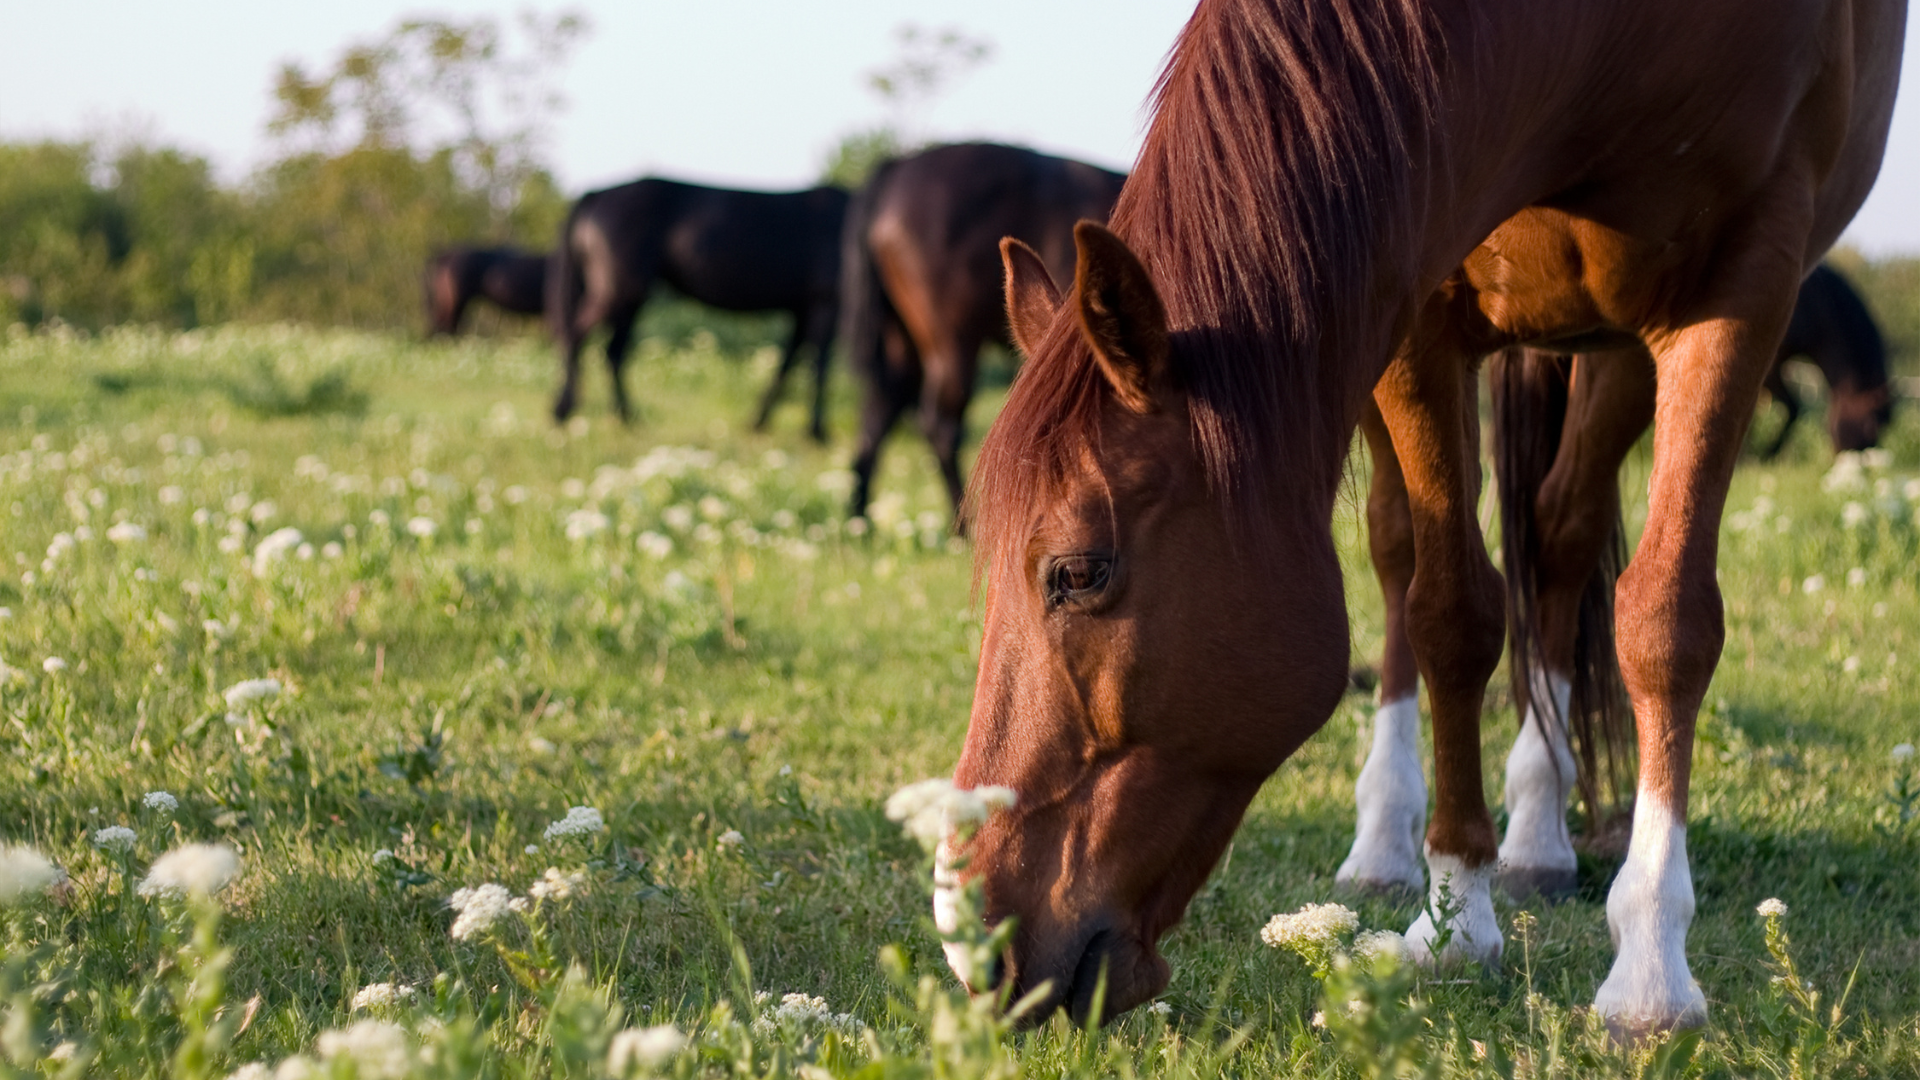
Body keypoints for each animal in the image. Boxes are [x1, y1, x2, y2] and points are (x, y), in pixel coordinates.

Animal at [547, 179, 848, 440]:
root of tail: (596, 193)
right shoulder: (825, 302)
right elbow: (819, 365)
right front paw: (817, 431)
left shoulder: (803, 309)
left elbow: (787, 364)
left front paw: (759, 421)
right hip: (618, 292)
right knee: (576, 336)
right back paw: (564, 410)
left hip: (628, 298)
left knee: (612, 352)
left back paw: (626, 416)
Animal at [838, 143, 1126, 519]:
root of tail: (896, 168)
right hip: (952, 340)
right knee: (940, 425)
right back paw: (961, 523)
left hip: (902, 338)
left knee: (879, 410)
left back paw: (859, 516)